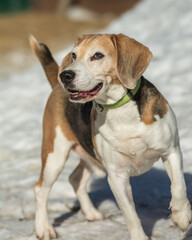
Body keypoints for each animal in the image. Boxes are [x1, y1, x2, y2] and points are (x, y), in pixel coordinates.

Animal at [29, 34, 191, 240]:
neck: (120, 109)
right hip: (54, 156)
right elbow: (130, 215)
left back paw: (91, 213)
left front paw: (182, 217)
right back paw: (44, 228)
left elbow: (179, 186)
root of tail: (57, 87)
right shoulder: (116, 176)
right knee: (40, 190)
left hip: (89, 156)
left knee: (75, 178)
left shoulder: (171, 151)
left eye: (98, 55)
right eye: (74, 55)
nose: (65, 75)